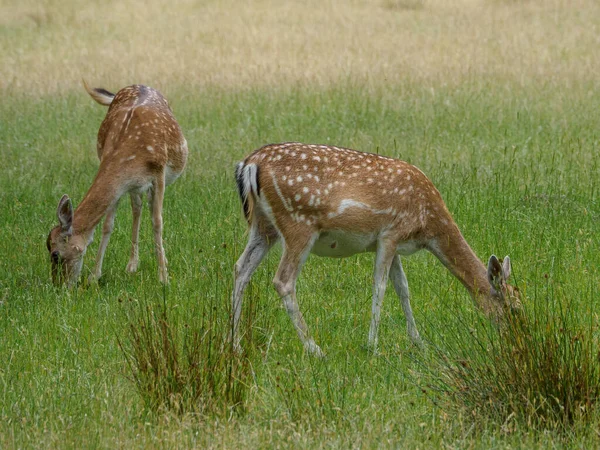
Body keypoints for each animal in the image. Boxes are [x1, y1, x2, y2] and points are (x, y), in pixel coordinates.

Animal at [45, 81, 188, 286]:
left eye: (55, 254)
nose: (59, 286)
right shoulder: (120, 184)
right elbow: (107, 225)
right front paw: (94, 276)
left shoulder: (159, 174)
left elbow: (157, 222)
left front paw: (163, 278)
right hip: (135, 186)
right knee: (137, 208)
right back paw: (132, 265)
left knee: (147, 209)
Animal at [231, 143, 520, 356]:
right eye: (514, 308)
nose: (516, 340)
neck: (428, 224)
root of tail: (249, 164)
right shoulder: (390, 234)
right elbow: (380, 286)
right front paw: (372, 345)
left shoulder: (395, 244)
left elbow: (403, 288)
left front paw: (418, 342)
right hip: (298, 223)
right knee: (283, 280)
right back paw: (315, 349)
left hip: (263, 226)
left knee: (240, 268)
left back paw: (234, 344)